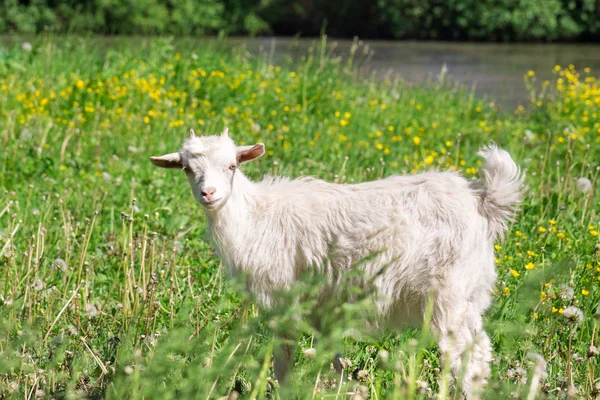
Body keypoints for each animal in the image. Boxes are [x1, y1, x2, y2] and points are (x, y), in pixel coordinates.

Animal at [152, 128, 524, 396]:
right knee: (481, 351)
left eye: (232, 166)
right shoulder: (322, 304)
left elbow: (283, 358)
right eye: (187, 169)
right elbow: (332, 357)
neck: (256, 218)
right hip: (471, 293)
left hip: (448, 293)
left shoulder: (282, 297)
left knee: (463, 357)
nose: (209, 194)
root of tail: (481, 199)